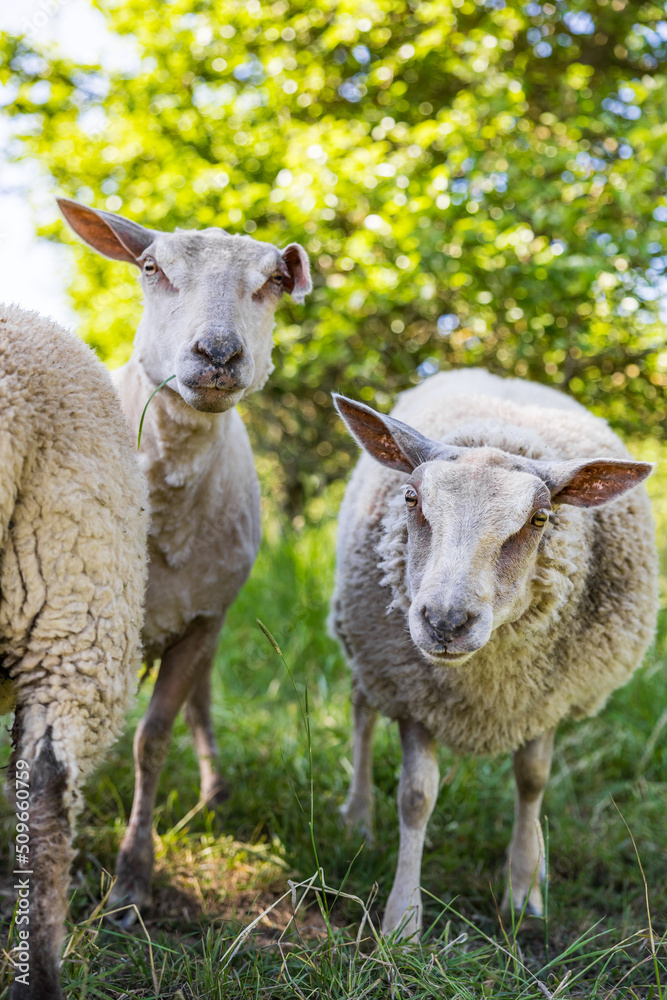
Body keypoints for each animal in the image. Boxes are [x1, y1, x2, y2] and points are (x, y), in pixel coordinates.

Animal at [56, 195, 312, 920]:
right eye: (151, 268)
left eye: (275, 281)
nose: (218, 353)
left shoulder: (201, 619)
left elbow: (153, 739)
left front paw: (131, 881)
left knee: (199, 700)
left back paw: (214, 794)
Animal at [332, 368, 660, 936]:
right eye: (411, 498)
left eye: (540, 518)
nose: (445, 621)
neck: (487, 688)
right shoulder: (412, 692)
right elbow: (416, 797)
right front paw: (403, 920)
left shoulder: (547, 698)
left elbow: (532, 781)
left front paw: (525, 891)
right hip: (366, 653)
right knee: (361, 714)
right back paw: (357, 819)